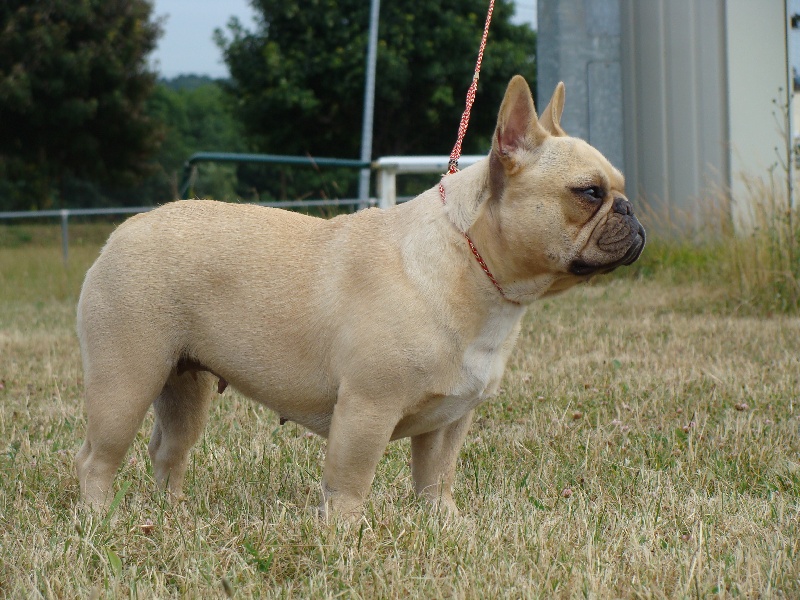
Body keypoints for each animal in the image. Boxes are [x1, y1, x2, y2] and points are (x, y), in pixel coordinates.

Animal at [76, 75, 644, 516]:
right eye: (588, 193)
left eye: (619, 188)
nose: (630, 211)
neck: (473, 268)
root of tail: (126, 229)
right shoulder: (367, 408)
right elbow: (350, 482)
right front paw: (346, 535)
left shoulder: (449, 421)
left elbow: (435, 480)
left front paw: (445, 526)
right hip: (127, 381)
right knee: (97, 457)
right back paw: (99, 521)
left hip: (183, 384)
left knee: (168, 451)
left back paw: (171, 513)